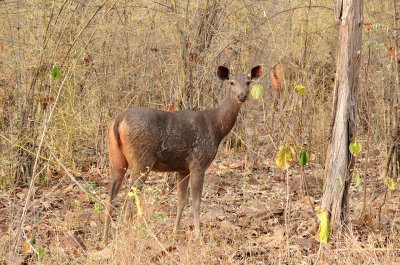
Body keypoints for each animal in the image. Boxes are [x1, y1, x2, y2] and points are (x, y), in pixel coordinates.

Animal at [103, 64, 262, 241]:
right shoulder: (198, 162)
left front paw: (175, 233)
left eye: (248, 82)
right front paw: (198, 236)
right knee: (129, 196)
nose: (242, 96)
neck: (216, 128)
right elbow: (196, 202)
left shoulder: (183, 168)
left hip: (116, 157)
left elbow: (181, 201)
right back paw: (128, 233)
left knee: (111, 195)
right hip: (141, 160)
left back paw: (105, 238)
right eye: (232, 82)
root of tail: (118, 121)